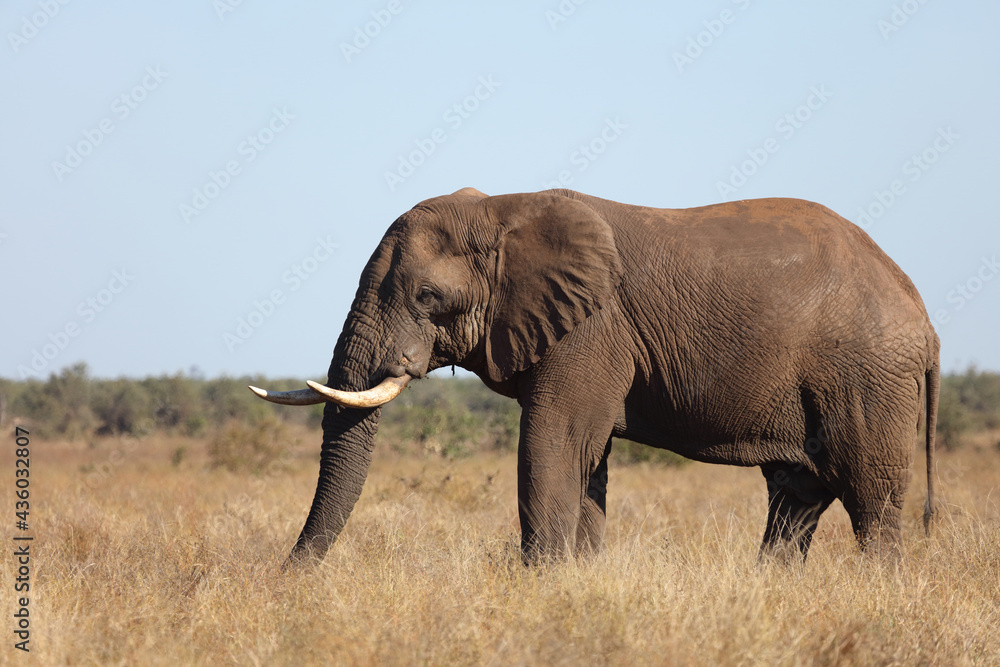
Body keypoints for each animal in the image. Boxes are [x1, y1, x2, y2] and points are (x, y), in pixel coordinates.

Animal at [251, 187, 939, 565]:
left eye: (426, 296)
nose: (284, 579)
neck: (503, 209)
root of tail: (922, 315)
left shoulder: (591, 330)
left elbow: (551, 447)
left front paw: (543, 586)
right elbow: (586, 461)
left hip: (868, 378)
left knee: (871, 501)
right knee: (796, 499)